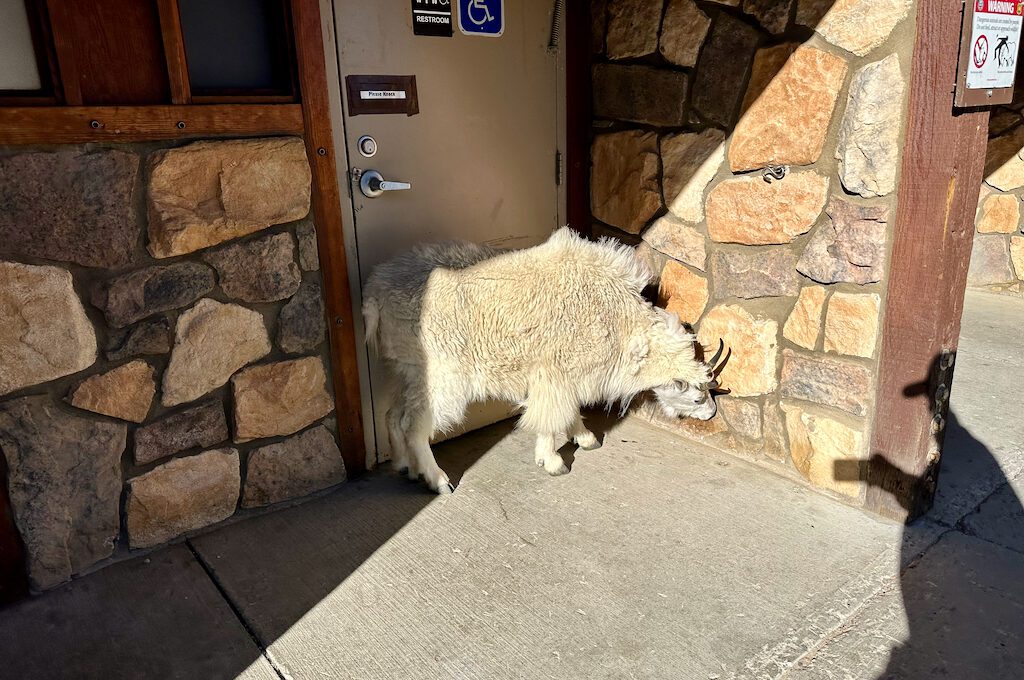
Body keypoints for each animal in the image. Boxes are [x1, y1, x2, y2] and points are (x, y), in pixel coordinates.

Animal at [364, 228, 724, 493]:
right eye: (695, 396)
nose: (710, 413)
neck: (615, 317)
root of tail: (374, 293)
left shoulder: (568, 376)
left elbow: (570, 409)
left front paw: (585, 438)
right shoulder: (555, 374)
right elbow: (551, 417)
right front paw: (552, 462)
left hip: (407, 369)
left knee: (393, 414)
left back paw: (405, 467)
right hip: (441, 375)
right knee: (414, 425)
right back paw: (437, 480)